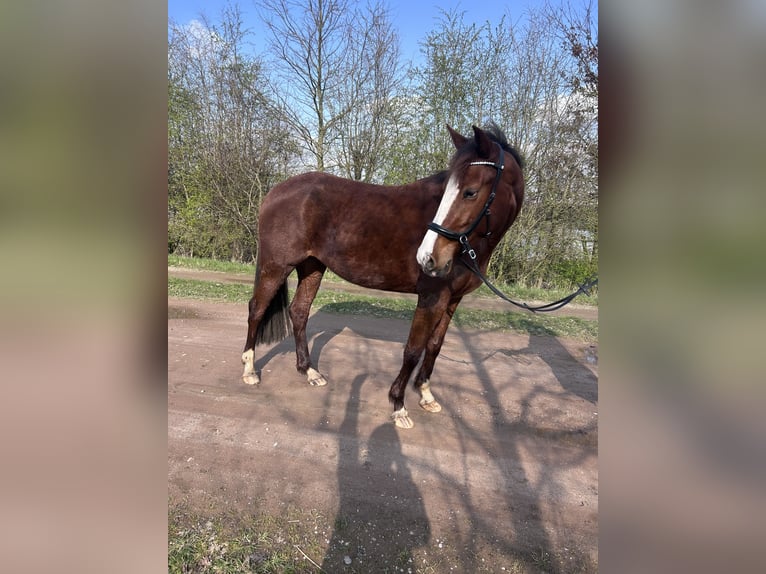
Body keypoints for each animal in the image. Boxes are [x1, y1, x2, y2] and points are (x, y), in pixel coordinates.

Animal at [241, 124, 525, 428]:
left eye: (470, 192)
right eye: (448, 190)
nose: (427, 257)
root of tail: (276, 191)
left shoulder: (452, 300)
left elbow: (434, 346)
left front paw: (426, 395)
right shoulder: (432, 297)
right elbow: (413, 349)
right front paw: (399, 405)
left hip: (312, 266)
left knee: (299, 311)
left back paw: (309, 372)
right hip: (275, 266)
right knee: (257, 309)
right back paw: (249, 371)